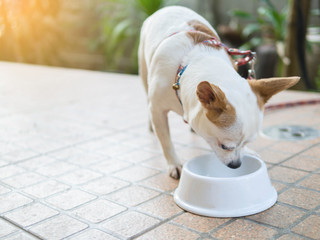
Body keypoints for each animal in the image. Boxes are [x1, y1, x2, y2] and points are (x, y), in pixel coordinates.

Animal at [138, 5, 300, 178]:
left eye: (247, 143)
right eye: (225, 146)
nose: (236, 164)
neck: (192, 62)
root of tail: (169, 7)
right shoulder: (158, 110)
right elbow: (165, 140)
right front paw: (174, 163)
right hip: (144, 70)